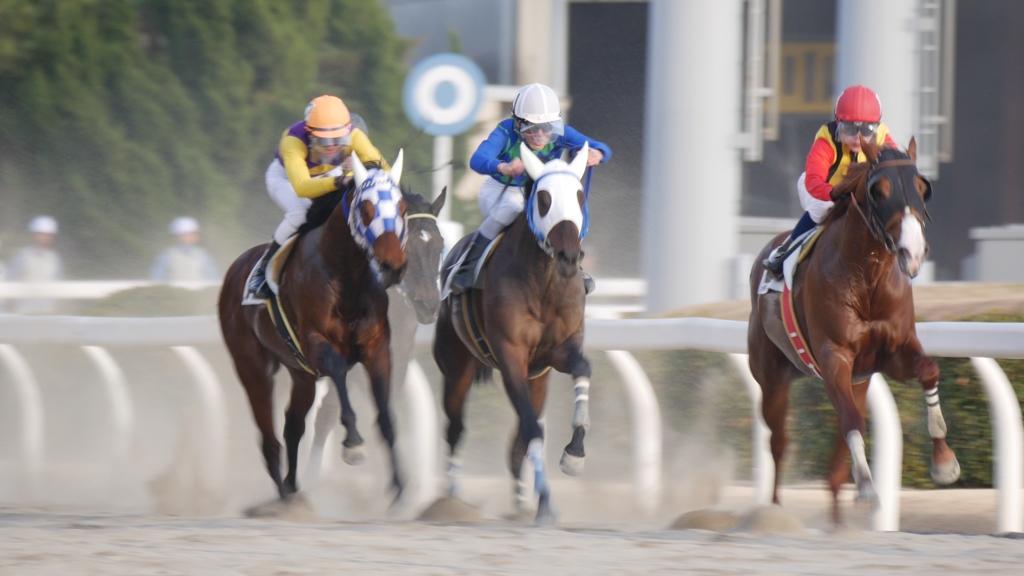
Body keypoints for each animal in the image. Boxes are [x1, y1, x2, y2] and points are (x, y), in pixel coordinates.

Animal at [432, 142, 593, 520]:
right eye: (544, 198)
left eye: (579, 195)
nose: (569, 256)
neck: (545, 283)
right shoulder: (510, 356)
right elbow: (532, 429)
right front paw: (546, 503)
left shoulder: (557, 351)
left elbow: (582, 368)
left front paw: (574, 454)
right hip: (456, 366)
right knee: (456, 428)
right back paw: (452, 500)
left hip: (539, 380)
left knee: (516, 440)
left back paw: (520, 504)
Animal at [745, 136, 958, 522]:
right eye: (879, 190)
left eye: (923, 188)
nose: (913, 252)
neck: (867, 279)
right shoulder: (835, 358)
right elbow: (851, 422)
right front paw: (869, 491)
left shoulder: (891, 352)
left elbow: (929, 371)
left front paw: (944, 462)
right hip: (772, 376)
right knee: (780, 441)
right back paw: (775, 511)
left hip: (858, 381)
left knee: (834, 464)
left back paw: (837, 522)